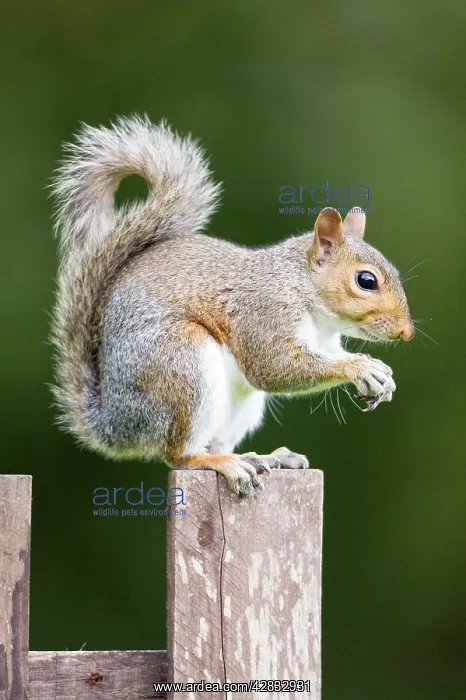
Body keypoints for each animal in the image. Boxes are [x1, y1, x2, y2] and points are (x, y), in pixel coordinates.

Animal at [51, 115, 414, 497]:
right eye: (366, 280)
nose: (407, 332)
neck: (304, 292)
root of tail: (114, 425)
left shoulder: (324, 342)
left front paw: (381, 374)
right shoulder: (263, 313)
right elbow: (274, 366)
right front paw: (360, 367)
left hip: (240, 405)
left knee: (215, 443)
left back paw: (262, 457)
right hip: (179, 365)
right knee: (180, 455)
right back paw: (224, 463)